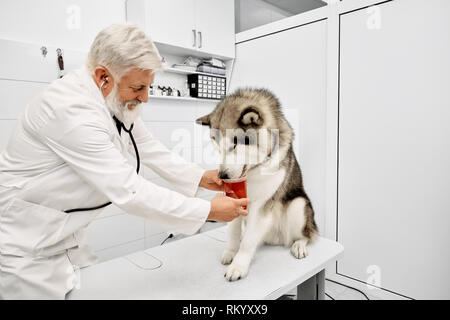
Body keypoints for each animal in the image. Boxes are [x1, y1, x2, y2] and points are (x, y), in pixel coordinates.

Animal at [195, 87, 318, 280]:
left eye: (234, 145)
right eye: (218, 146)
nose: (222, 176)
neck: (253, 172)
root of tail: (276, 239)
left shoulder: (262, 206)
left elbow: (247, 243)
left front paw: (238, 266)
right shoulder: (234, 202)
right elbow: (234, 233)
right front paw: (231, 252)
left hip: (298, 205)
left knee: (306, 234)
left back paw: (299, 244)